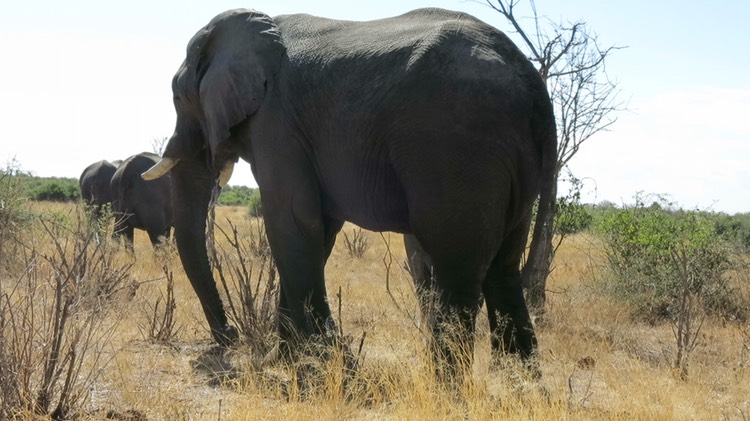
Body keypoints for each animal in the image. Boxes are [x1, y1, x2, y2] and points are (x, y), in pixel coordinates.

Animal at [142, 8, 557, 375]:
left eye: (178, 98)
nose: (229, 336)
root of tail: (532, 82)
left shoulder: (277, 124)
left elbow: (293, 223)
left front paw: (322, 364)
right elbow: (318, 230)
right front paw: (291, 360)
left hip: (458, 147)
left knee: (458, 269)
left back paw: (447, 391)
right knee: (503, 269)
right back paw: (518, 388)